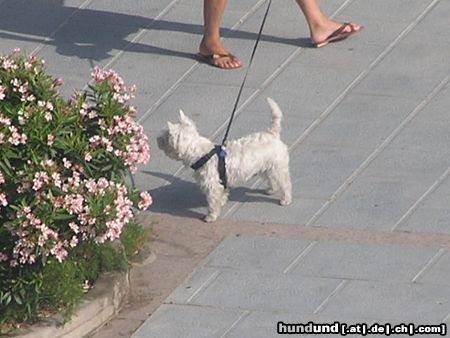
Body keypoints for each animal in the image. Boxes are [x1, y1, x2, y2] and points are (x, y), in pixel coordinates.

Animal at [157, 97, 292, 222]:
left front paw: (210, 217)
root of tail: (272, 134)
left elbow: (212, 202)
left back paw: (286, 199)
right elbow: (221, 195)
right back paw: (271, 190)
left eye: (164, 136)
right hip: (267, 167)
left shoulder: (211, 185)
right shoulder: (220, 182)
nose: (157, 139)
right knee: (271, 179)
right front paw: (222, 202)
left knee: (286, 184)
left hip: (278, 168)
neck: (201, 154)